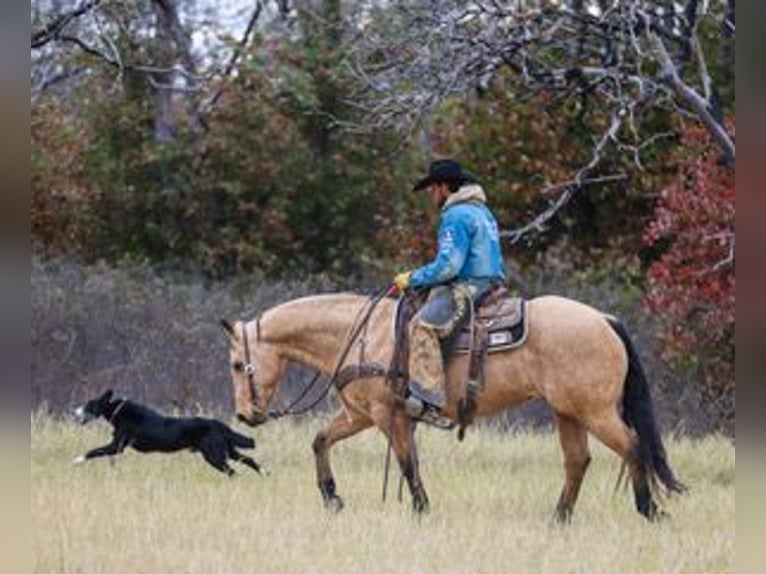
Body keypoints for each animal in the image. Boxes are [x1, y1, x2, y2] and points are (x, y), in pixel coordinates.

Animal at [221, 291, 685, 522]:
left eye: (237, 364)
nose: (245, 415)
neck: (362, 333)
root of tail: (605, 319)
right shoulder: (359, 415)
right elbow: (320, 440)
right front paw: (332, 497)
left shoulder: (387, 416)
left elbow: (408, 463)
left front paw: (421, 509)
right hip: (568, 412)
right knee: (578, 461)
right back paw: (559, 518)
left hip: (596, 412)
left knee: (633, 446)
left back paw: (649, 510)